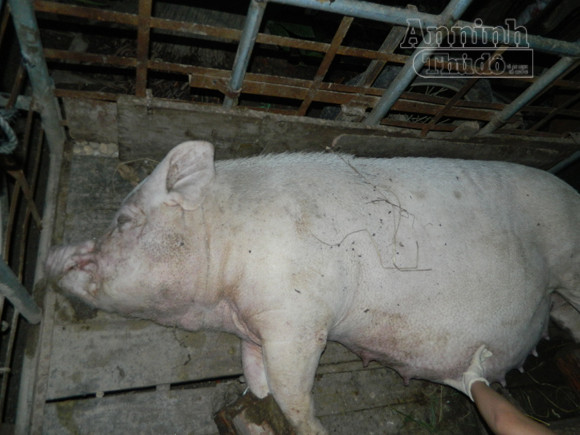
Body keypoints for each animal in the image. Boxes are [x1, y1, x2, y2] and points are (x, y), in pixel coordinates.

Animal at [46, 141, 580, 434]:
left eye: (124, 220)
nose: (53, 256)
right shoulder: (253, 328)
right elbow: (258, 374)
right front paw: (256, 388)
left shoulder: (297, 318)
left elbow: (291, 392)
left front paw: (314, 428)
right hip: (558, 303)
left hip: (569, 259)